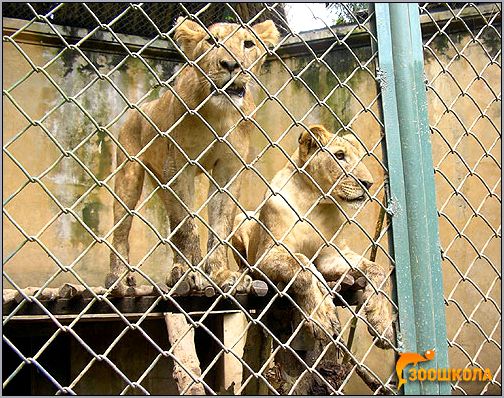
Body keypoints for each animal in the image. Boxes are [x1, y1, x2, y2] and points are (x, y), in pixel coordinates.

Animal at [106, 17, 280, 294]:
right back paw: (119, 278)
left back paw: (176, 271)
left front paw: (221, 274)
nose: (231, 64)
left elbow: (219, 226)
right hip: (129, 174)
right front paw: (193, 272)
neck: (218, 115)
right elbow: (188, 226)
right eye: (212, 41)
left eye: (248, 44)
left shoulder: (228, 171)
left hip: (161, 182)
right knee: (122, 228)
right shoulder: (179, 166)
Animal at [231, 124, 394, 348]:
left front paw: (382, 321)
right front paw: (322, 316)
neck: (314, 202)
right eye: (340, 155)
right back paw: (241, 275)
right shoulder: (268, 254)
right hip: (242, 218)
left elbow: (377, 269)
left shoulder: (331, 256)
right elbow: (304, 266)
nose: (368, 183)